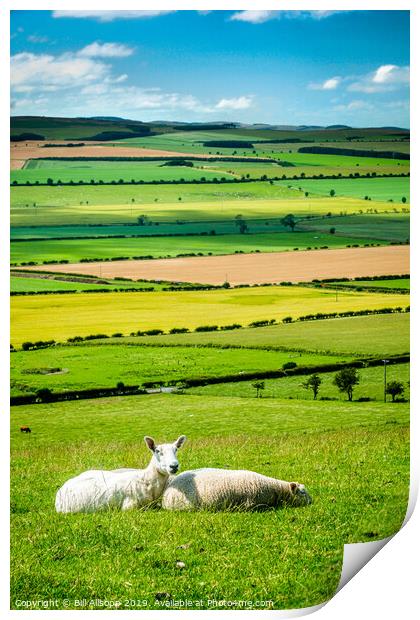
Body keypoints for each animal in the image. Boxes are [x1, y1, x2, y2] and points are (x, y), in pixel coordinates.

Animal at [55, 434, 186, 512]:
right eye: (157, 451)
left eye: (176, 449)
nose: (174, 466)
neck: (147, 479)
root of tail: (61, 490)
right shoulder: (129, 507)